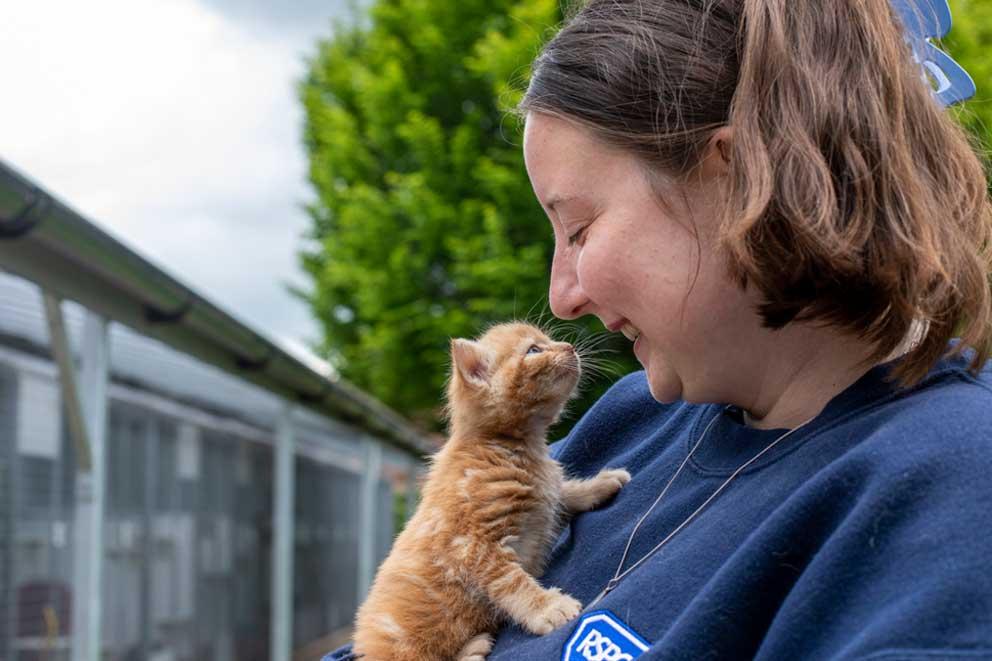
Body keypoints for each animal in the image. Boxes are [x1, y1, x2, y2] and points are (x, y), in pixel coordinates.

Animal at [352, 324, 632, 660]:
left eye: (549, 341)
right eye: (534, 350)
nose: (569, 347)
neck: (511, 447)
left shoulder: (545, 497)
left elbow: (563, 492)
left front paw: (600, 483)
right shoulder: (473, 546)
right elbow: (513, 583)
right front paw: (548, 607)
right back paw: (472, 649)